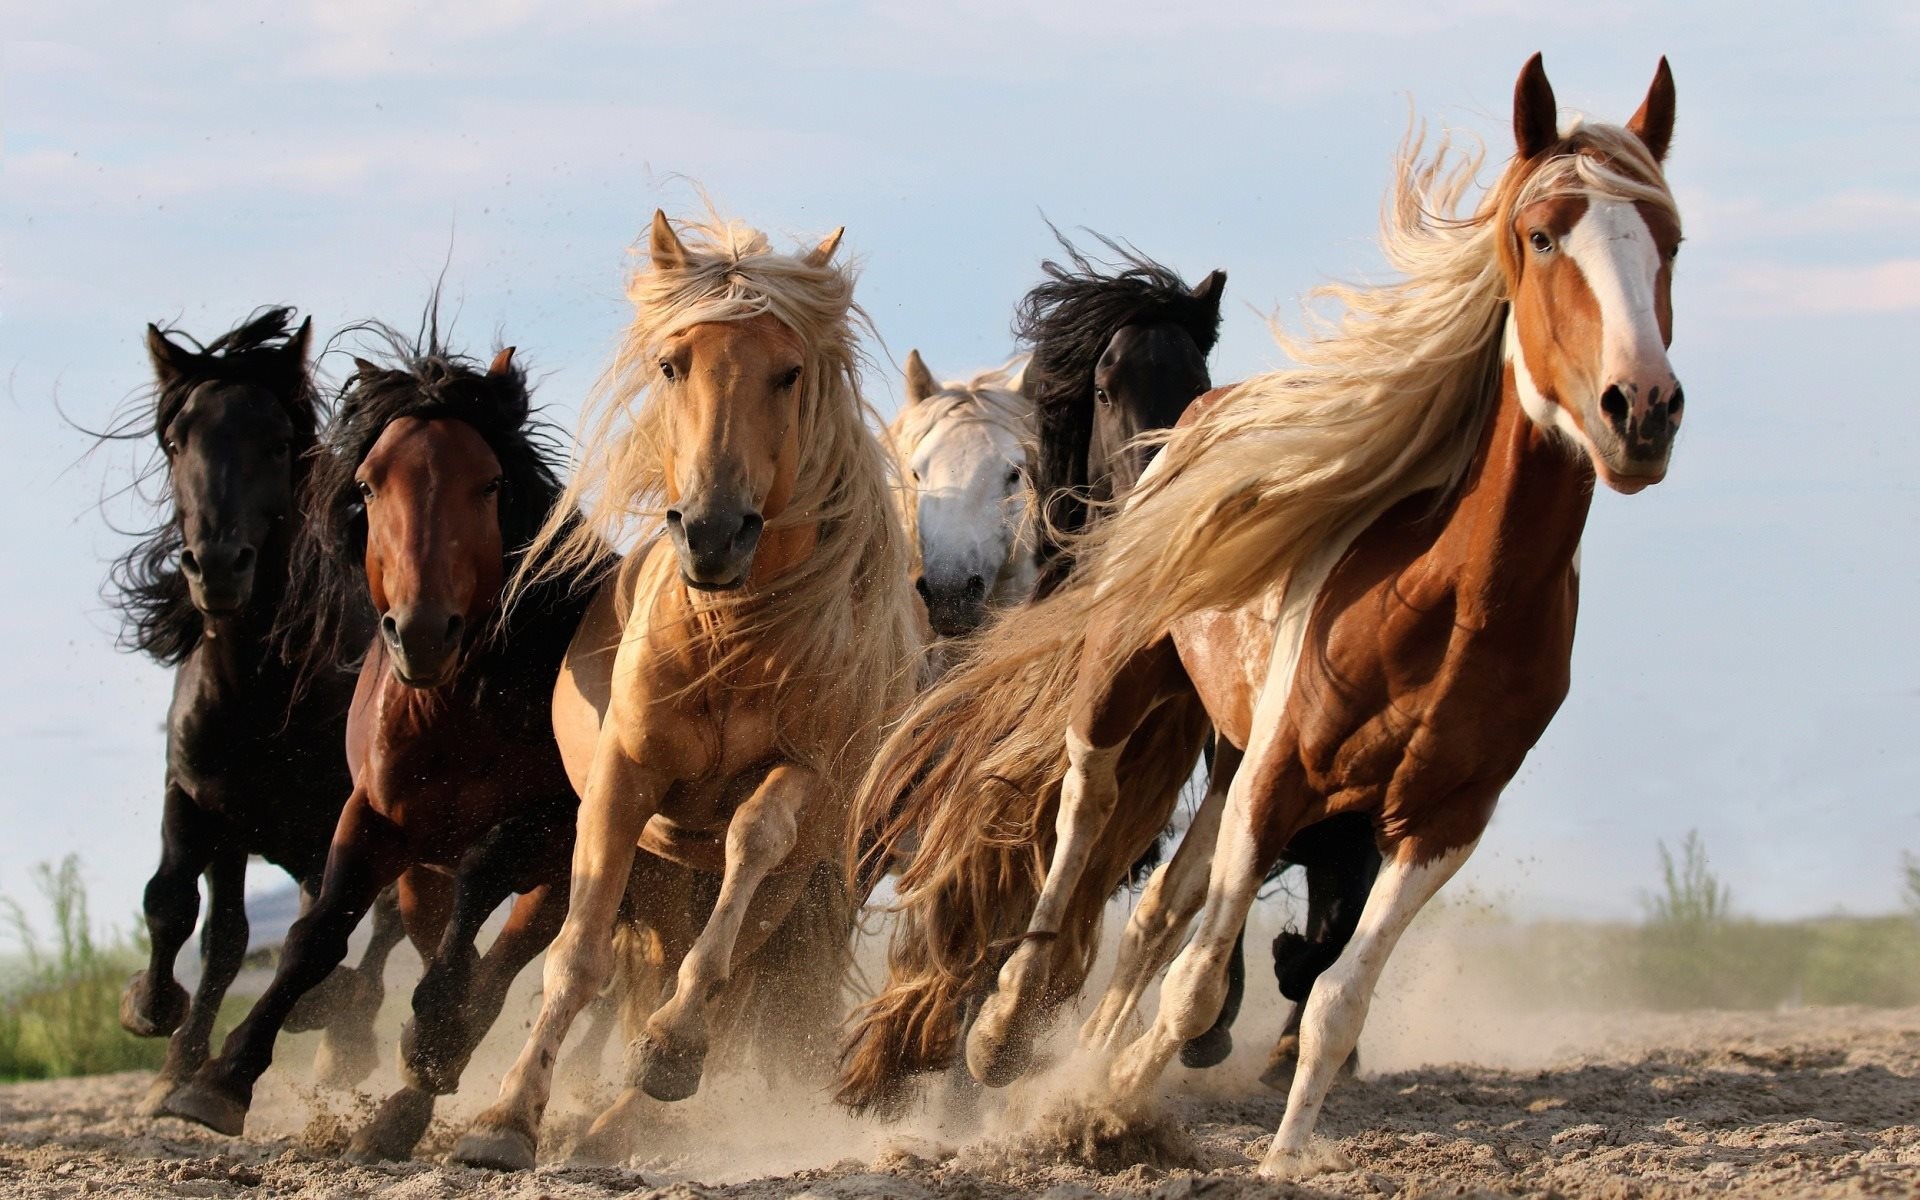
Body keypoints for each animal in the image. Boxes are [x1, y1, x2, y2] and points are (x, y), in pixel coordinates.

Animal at [107, 309, 403, 1116]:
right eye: (178, 441)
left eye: (277, 442)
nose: (217, 566)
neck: (260, 694)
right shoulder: (204, 800)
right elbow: (187, 912)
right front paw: (159, 1029)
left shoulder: (341, 815)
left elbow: (327, 923)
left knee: (383, 924)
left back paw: (344, 1036)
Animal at [157, 326, 601, 1162]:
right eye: (367, 487)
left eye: (489, 484)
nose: (421, 633)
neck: (456, 708)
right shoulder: (373, 816)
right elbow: (315, 932)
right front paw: (219, 1080)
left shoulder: (551, 826)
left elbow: (482, 884)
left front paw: (430, 1037)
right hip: (426, 873)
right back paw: (400, 1105)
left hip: (560, 872)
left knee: (501, 964)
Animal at [450, 211, 920, 1171]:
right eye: (673, 365)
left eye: (789, 372)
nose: (711, 532)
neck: (731, 640)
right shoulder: (624, 782)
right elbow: (577, 956)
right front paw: (505, 1118)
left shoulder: (804, 776)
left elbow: (750, 846)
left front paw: (669, 1048)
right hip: (666, 874)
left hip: (791, 885)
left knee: (731, 975)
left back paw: (629, 1109)